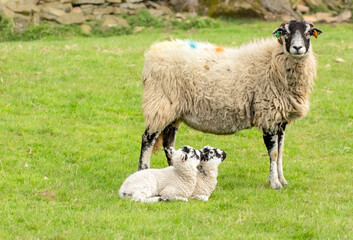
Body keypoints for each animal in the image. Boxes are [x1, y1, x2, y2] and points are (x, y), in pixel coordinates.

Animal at [138, 20, 322, 189]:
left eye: (308, 32)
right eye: (285, 32)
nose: (297, 48)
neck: (272, 60)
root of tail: (152, 52)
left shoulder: (280, 119)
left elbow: (281, 152)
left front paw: (282, 180)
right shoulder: (267, 114)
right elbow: (274, 153)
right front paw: (275, 183)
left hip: (174, 110)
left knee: (168, 144)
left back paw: (177, 173)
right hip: (159, 104)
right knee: (148, 138)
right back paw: (143, 170)